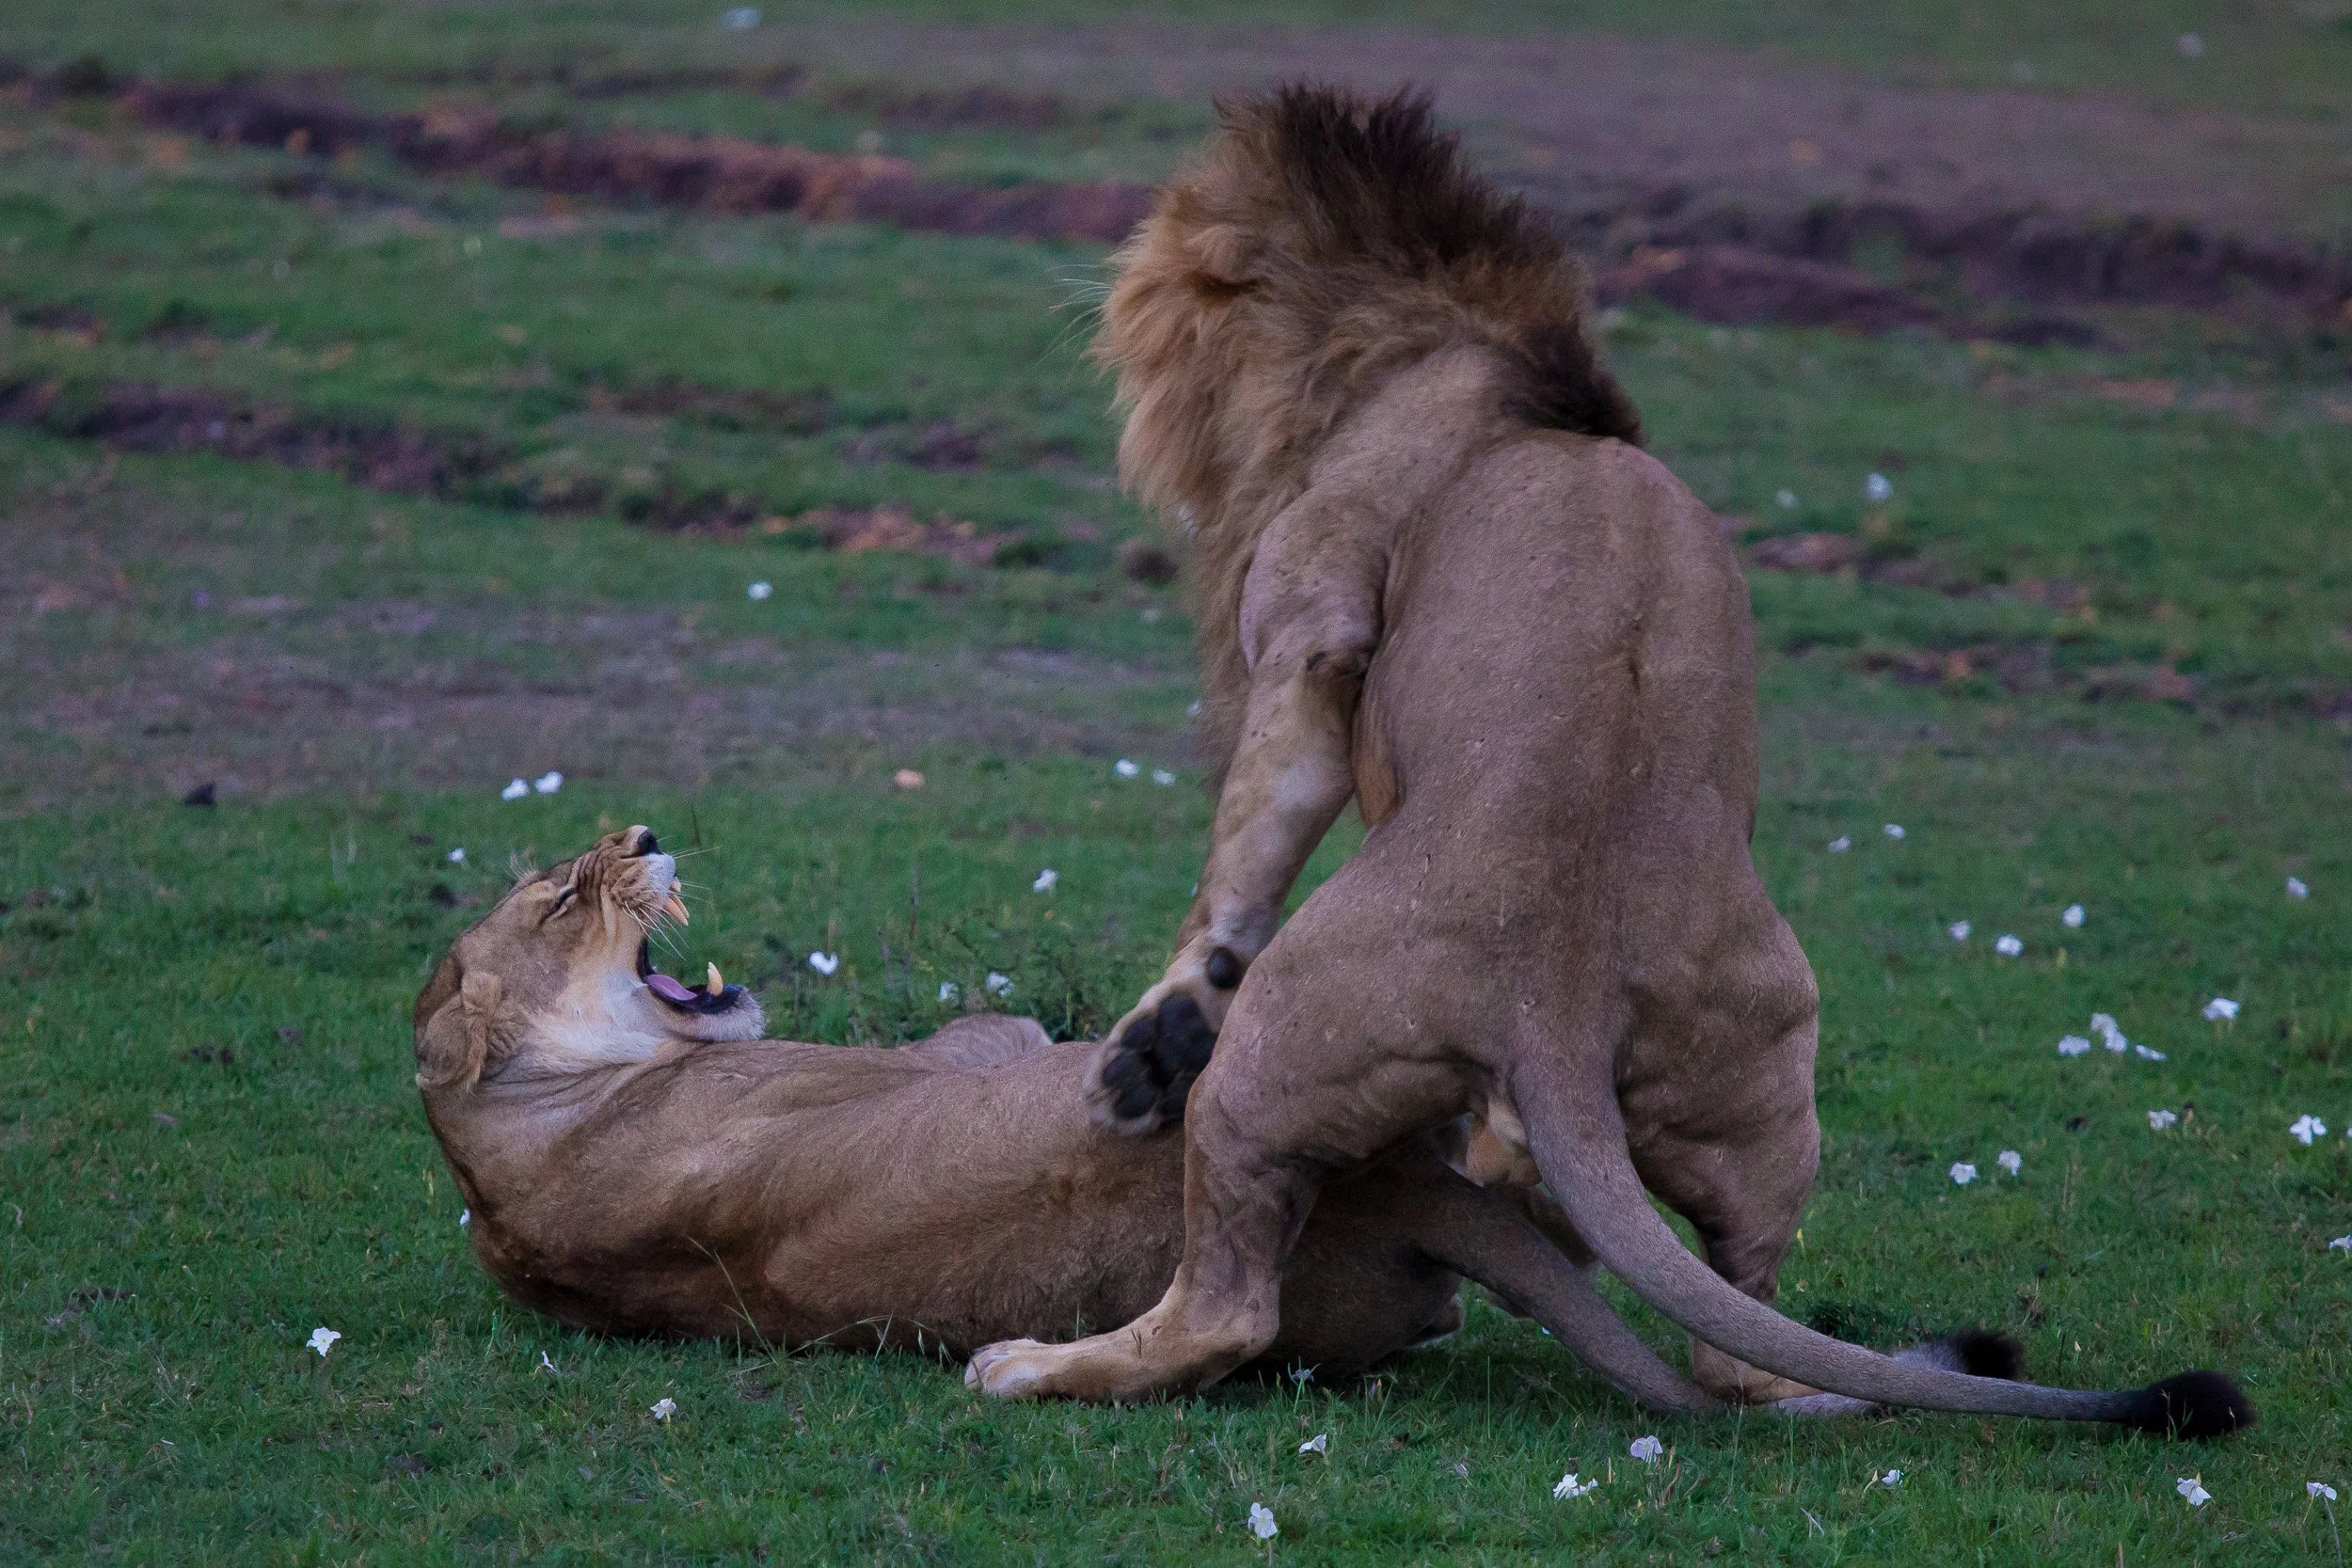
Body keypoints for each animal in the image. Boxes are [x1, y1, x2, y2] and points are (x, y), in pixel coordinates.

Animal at [963, 86, 2249, 1439]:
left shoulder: (1313, 625)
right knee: (1736, 1348)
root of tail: (1560, 1002)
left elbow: (1242, 856)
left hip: (1276, 1060)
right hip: (1766, 1066)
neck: (1460, 352)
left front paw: (1152, 1042)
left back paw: (1041, 1361)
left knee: (1229, 1309)